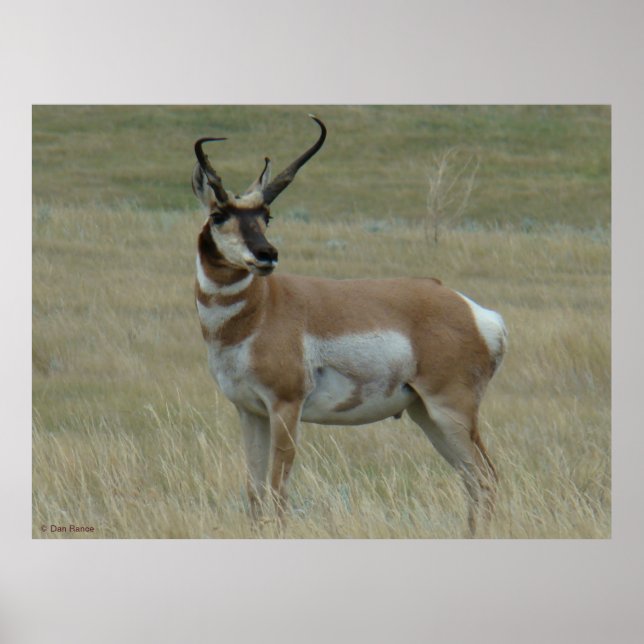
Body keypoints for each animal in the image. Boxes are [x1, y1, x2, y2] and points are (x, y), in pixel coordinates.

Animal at [192, 115, 507, 535]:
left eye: (266, 216)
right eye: (218, 215)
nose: (266, 254)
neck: (260, 310)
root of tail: (476, 313)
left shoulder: (285, 408)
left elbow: (277, 492)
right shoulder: (250, 411)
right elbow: (255, 494)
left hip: (450, 411)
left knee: (486, 478)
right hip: (428, 416)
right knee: (473, 480)